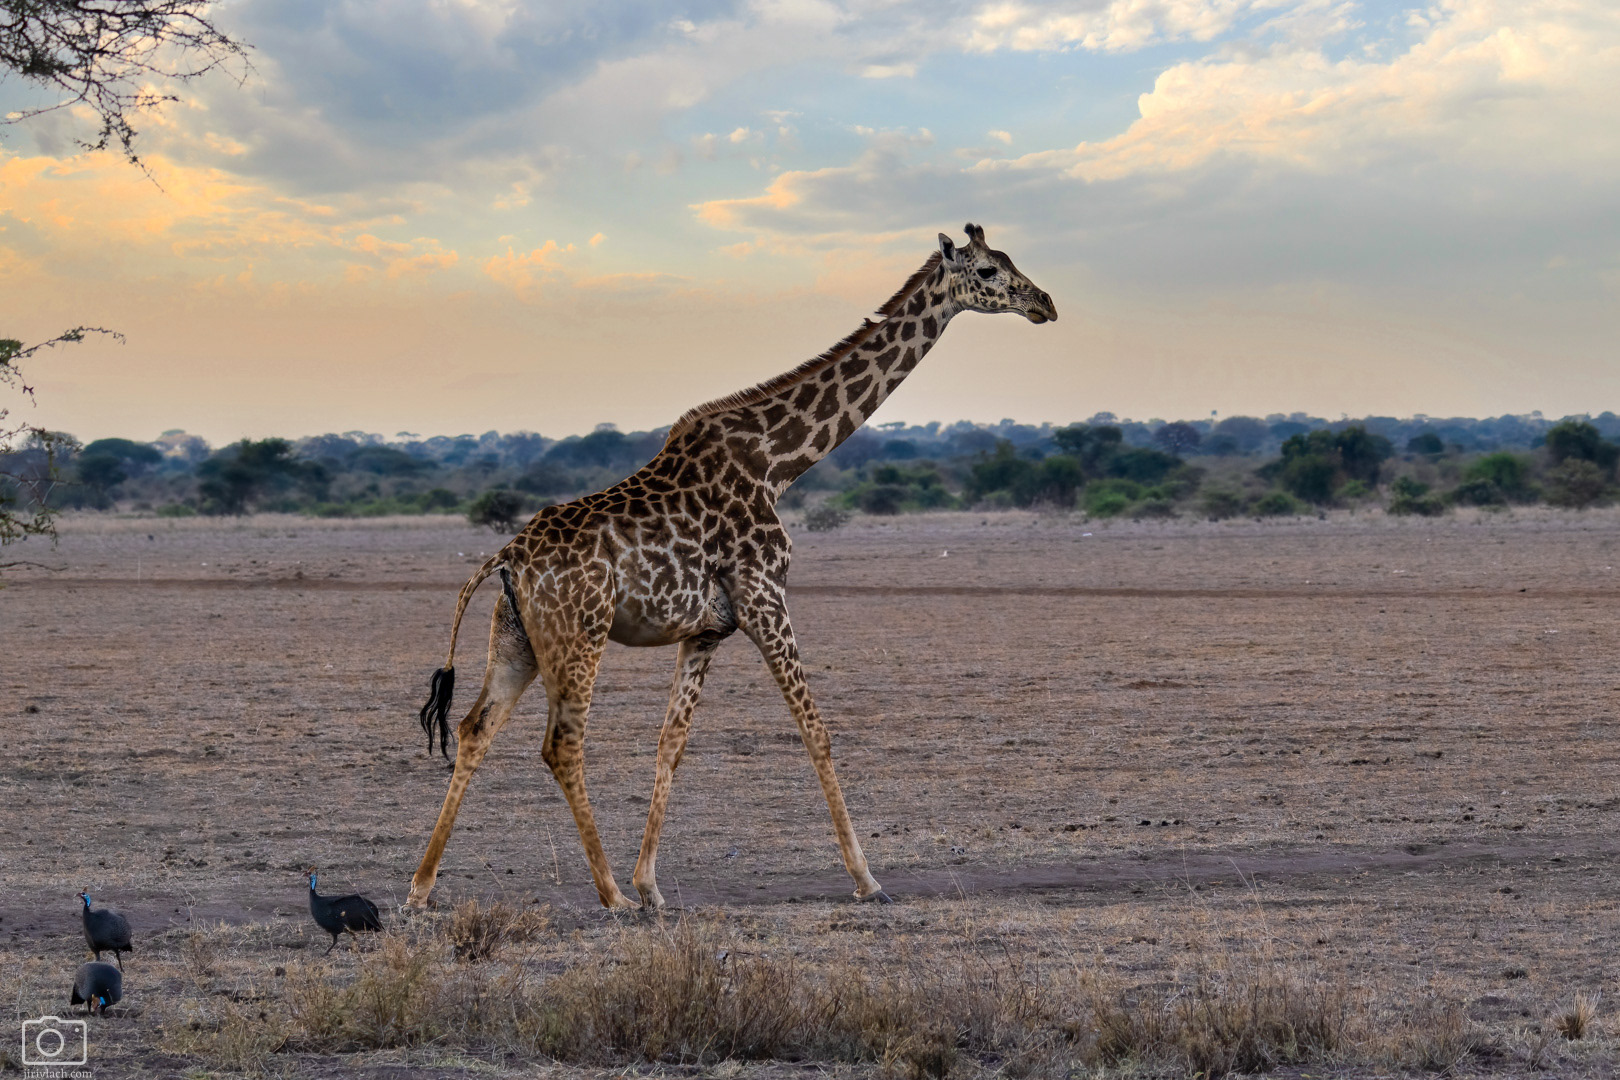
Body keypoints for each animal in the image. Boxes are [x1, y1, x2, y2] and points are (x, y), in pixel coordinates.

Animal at [406, 223, 1056, 910]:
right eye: (987, 271)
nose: (1044, 303)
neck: (779, 463)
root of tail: (507, 557)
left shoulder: (706, 629)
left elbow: (671, 745)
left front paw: (651, 885)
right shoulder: (764, 596)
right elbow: (816, 731)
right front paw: (867, 879)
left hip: (519, 638)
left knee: (474, 729)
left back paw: (422, 886)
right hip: (579, 633)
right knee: (561, 744)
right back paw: (607, 895)